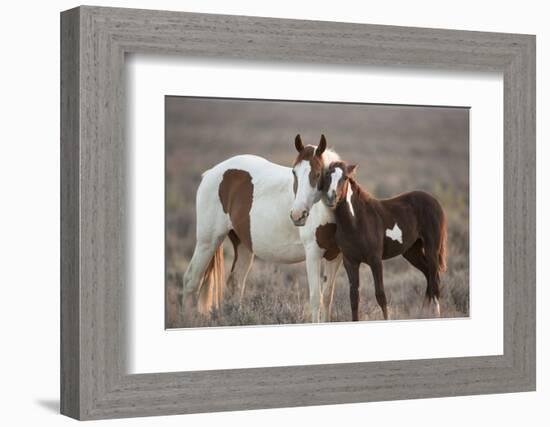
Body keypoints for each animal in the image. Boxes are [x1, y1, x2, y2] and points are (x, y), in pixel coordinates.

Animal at [183, 135, 342, 322]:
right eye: (294, 172)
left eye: (318, 174)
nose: (297, 215)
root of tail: (210, 173)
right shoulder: (313, 254)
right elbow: (316, 298)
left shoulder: (335, 256)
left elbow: (327, 298)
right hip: (207, 242)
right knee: (191, 280)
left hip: (243, 245)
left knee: (236, 283)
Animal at [324, 160, 448, 320]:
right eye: (327, 175)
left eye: (345, 177)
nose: (331, 198)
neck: (356, 221)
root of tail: (434, 200)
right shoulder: (350, 262)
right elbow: (354, 297)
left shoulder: (375, 260)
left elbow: (380, 295)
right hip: (412, 251)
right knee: (428, 275)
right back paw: (423, 314)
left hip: (432, 248)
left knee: (435, 280)